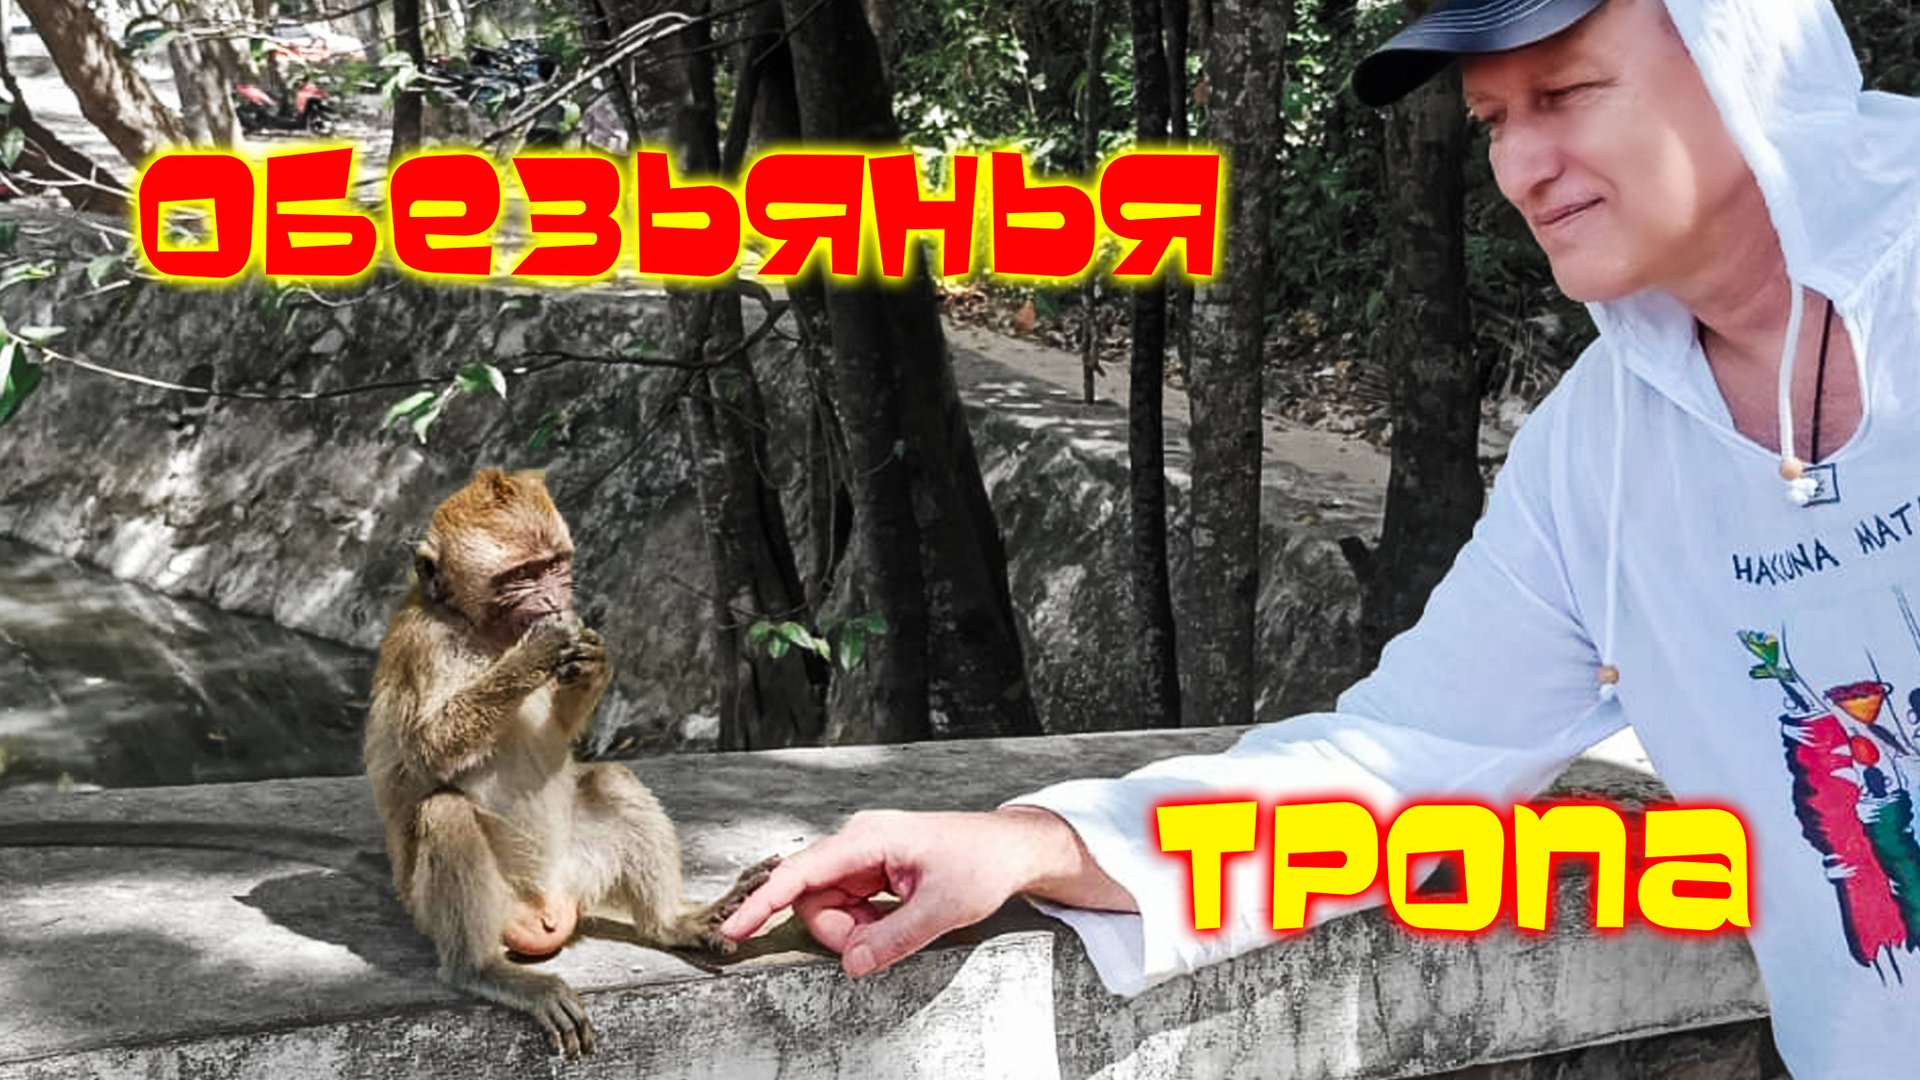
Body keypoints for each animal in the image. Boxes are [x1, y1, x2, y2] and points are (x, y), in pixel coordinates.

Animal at [364, 469, 776, 1059]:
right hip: (462, 906)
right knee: (445, 812)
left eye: (554, 564)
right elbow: (428, 748)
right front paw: (536, 652)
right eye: (521, 575)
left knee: (612, 777)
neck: (481, 631)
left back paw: (673, 922)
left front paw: (594, 660)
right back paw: (482, 970)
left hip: (579, 870)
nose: (552, 597)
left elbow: (564, 734)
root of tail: (545, 907)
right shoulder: (423, 645)